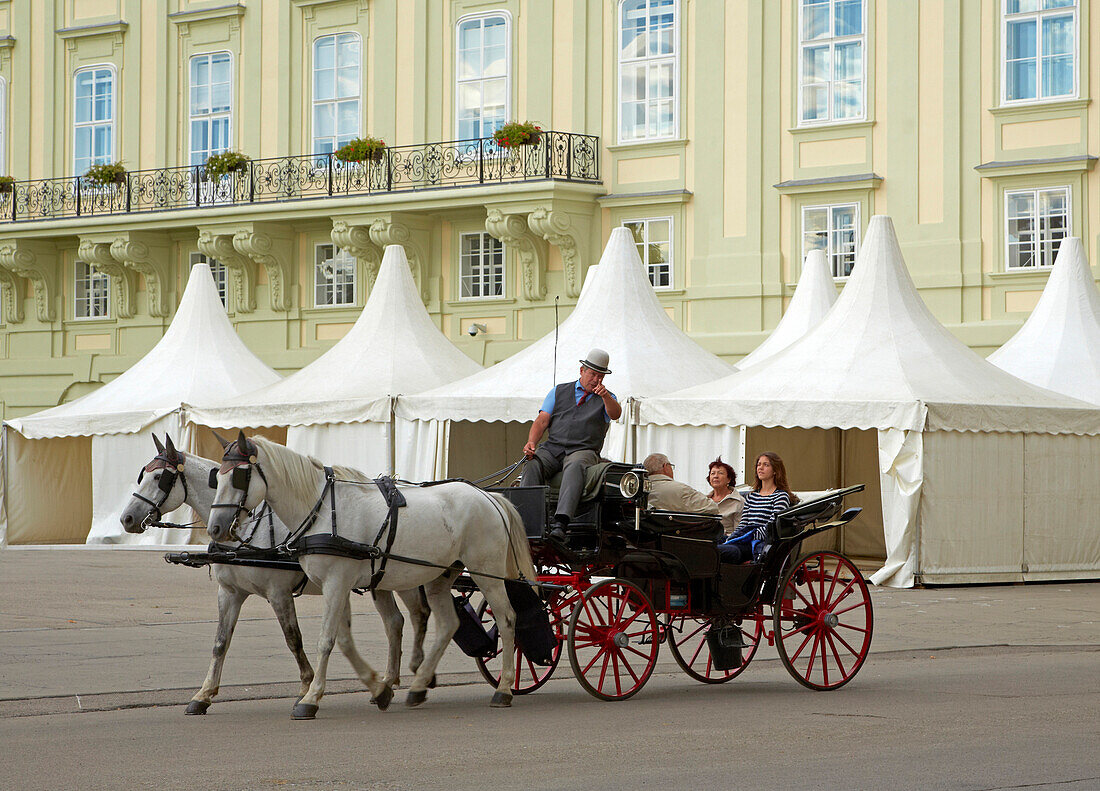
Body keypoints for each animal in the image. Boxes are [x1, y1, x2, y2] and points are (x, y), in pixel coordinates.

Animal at [119, 435, 429, 712]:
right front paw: (204, 695)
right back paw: (390, 681)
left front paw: (306, 687)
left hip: (407, 575)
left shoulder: (278, 593)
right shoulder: (230, 592)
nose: (127, 518)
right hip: (382, 580)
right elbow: (220, 643)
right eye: (143, 475)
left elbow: (293, 639)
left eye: (160, 478)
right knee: (395, 622)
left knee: (418, 615)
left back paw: (418, 673)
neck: (244, 530)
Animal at [206, 433, 536, 717]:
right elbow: (342, 640)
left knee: (506, 618)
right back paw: (419, 686)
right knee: (447, 624)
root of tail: (489, 497)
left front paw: (310, 698)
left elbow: (326, 640)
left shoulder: (335, 583)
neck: (322, 509)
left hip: (488, 572)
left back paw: (504, 688)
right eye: (216, 476)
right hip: (439, 576)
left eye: (239, 476)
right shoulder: (334, 586)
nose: (215, 528)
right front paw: (380, 689)